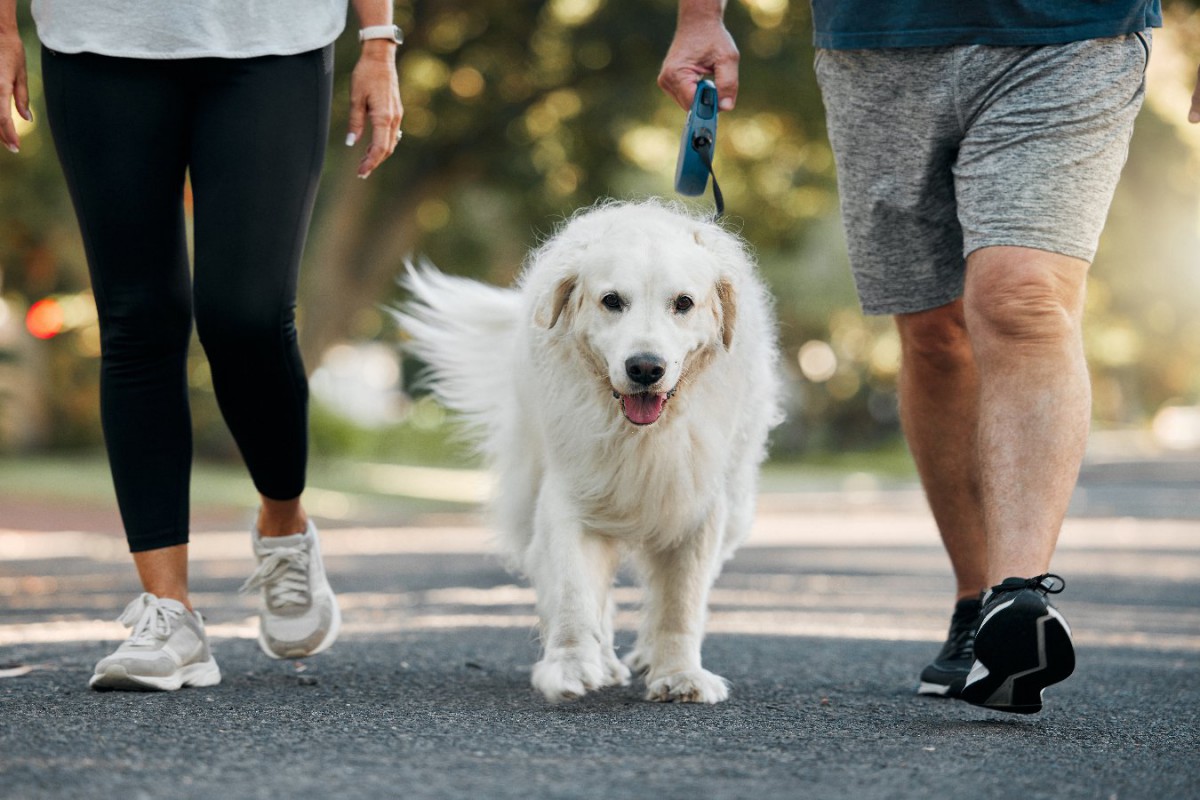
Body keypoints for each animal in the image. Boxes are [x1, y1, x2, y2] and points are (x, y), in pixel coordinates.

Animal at [398, 201, 782, 705]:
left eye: (683, 303)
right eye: (612, 300)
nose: (645, 368)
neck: (641, 436)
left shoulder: (697, 505)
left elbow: (681, 602)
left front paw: (680, 674)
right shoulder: (570, 495)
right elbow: (573, 592)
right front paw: (571, 666)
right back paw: (605, 661)